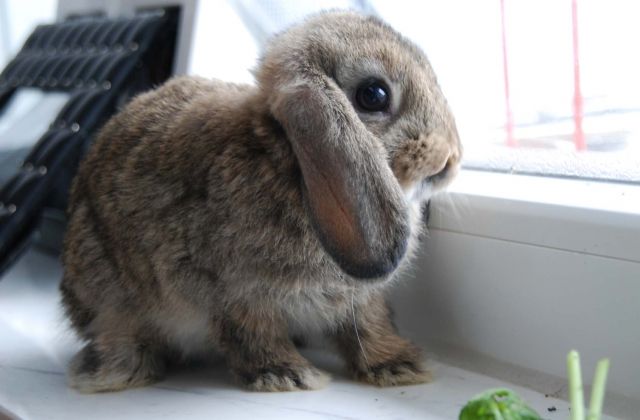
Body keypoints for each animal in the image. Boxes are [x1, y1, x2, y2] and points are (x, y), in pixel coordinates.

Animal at [60, 10, 461, 393]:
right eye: (374, 95)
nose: (450, 158)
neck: (289, 162)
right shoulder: (237, 292)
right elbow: (253, 335)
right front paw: (288, 375)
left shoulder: (359, 301)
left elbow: (368, 327)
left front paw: (400, 366)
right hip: (109, 297)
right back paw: (114, 374)